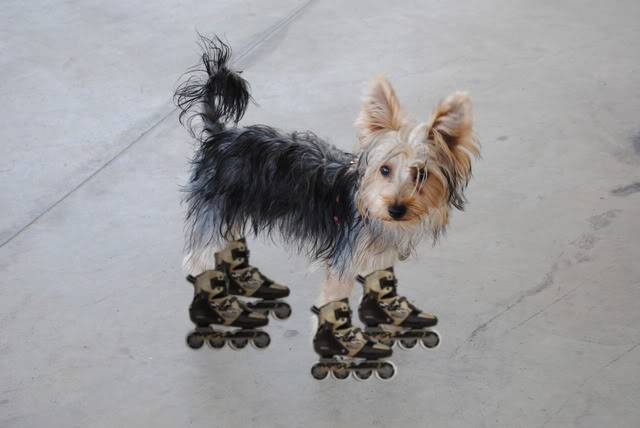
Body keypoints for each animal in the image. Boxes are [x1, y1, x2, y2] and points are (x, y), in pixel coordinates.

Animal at [172, 36, 478, 304]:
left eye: (422, 175)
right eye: (384, 170)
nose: (396, 209)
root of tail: (219, 136)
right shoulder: (343, 265)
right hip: (213, 210)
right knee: (196, 259)